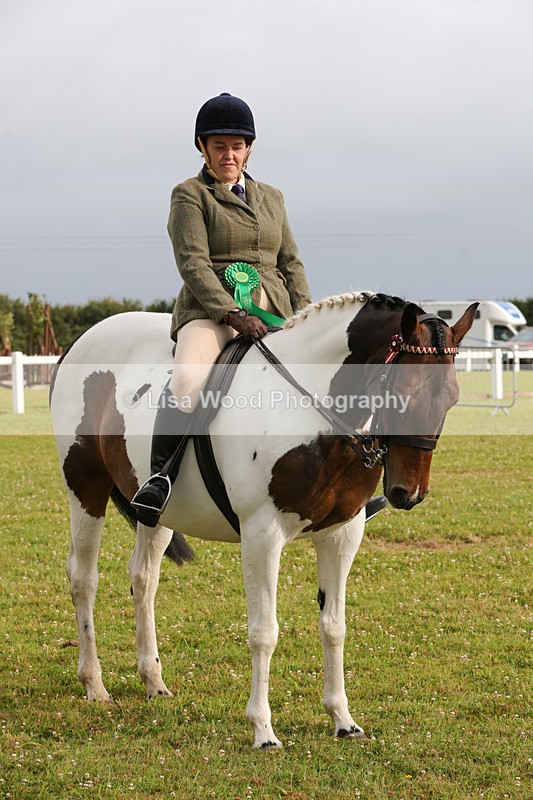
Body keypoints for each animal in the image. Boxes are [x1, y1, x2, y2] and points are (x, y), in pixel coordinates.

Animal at [50, 291, 477, 749]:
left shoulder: (342, 534)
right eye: (402, 392)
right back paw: (94, 684)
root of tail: (82, 340)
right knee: (83, 578)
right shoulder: (262, 535)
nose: (408, 493)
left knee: (144, 579)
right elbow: (264, 632)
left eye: (452, 398)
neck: (312, 413)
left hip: (155, 509)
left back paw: (154, 682)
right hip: (85, 486)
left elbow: (334, 626)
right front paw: (263, 730)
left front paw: (343, 720)